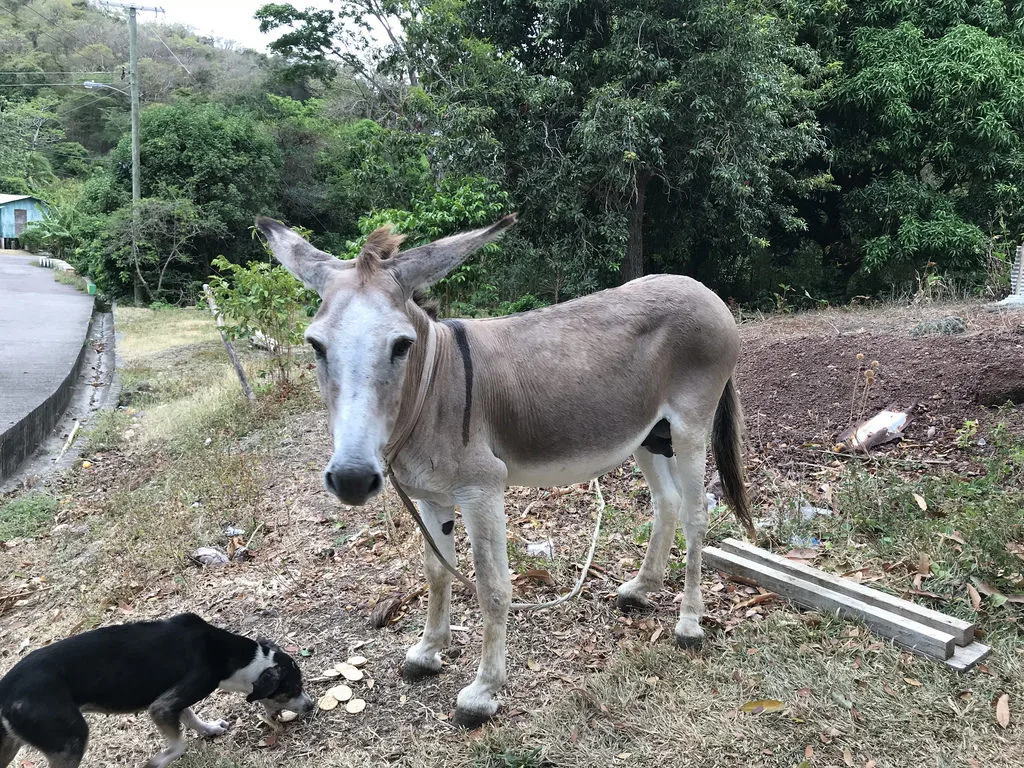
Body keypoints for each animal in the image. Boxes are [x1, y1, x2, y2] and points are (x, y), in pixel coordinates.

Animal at [0, 614, 311, 768]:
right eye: (295, 687)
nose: (310, 706)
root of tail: (5, 693)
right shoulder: (163, 706)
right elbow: (178, 744)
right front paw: (156, 762)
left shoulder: (172, 701)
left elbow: (191, 718)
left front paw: (210, 729)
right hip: (71, 740)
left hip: (10, 746)